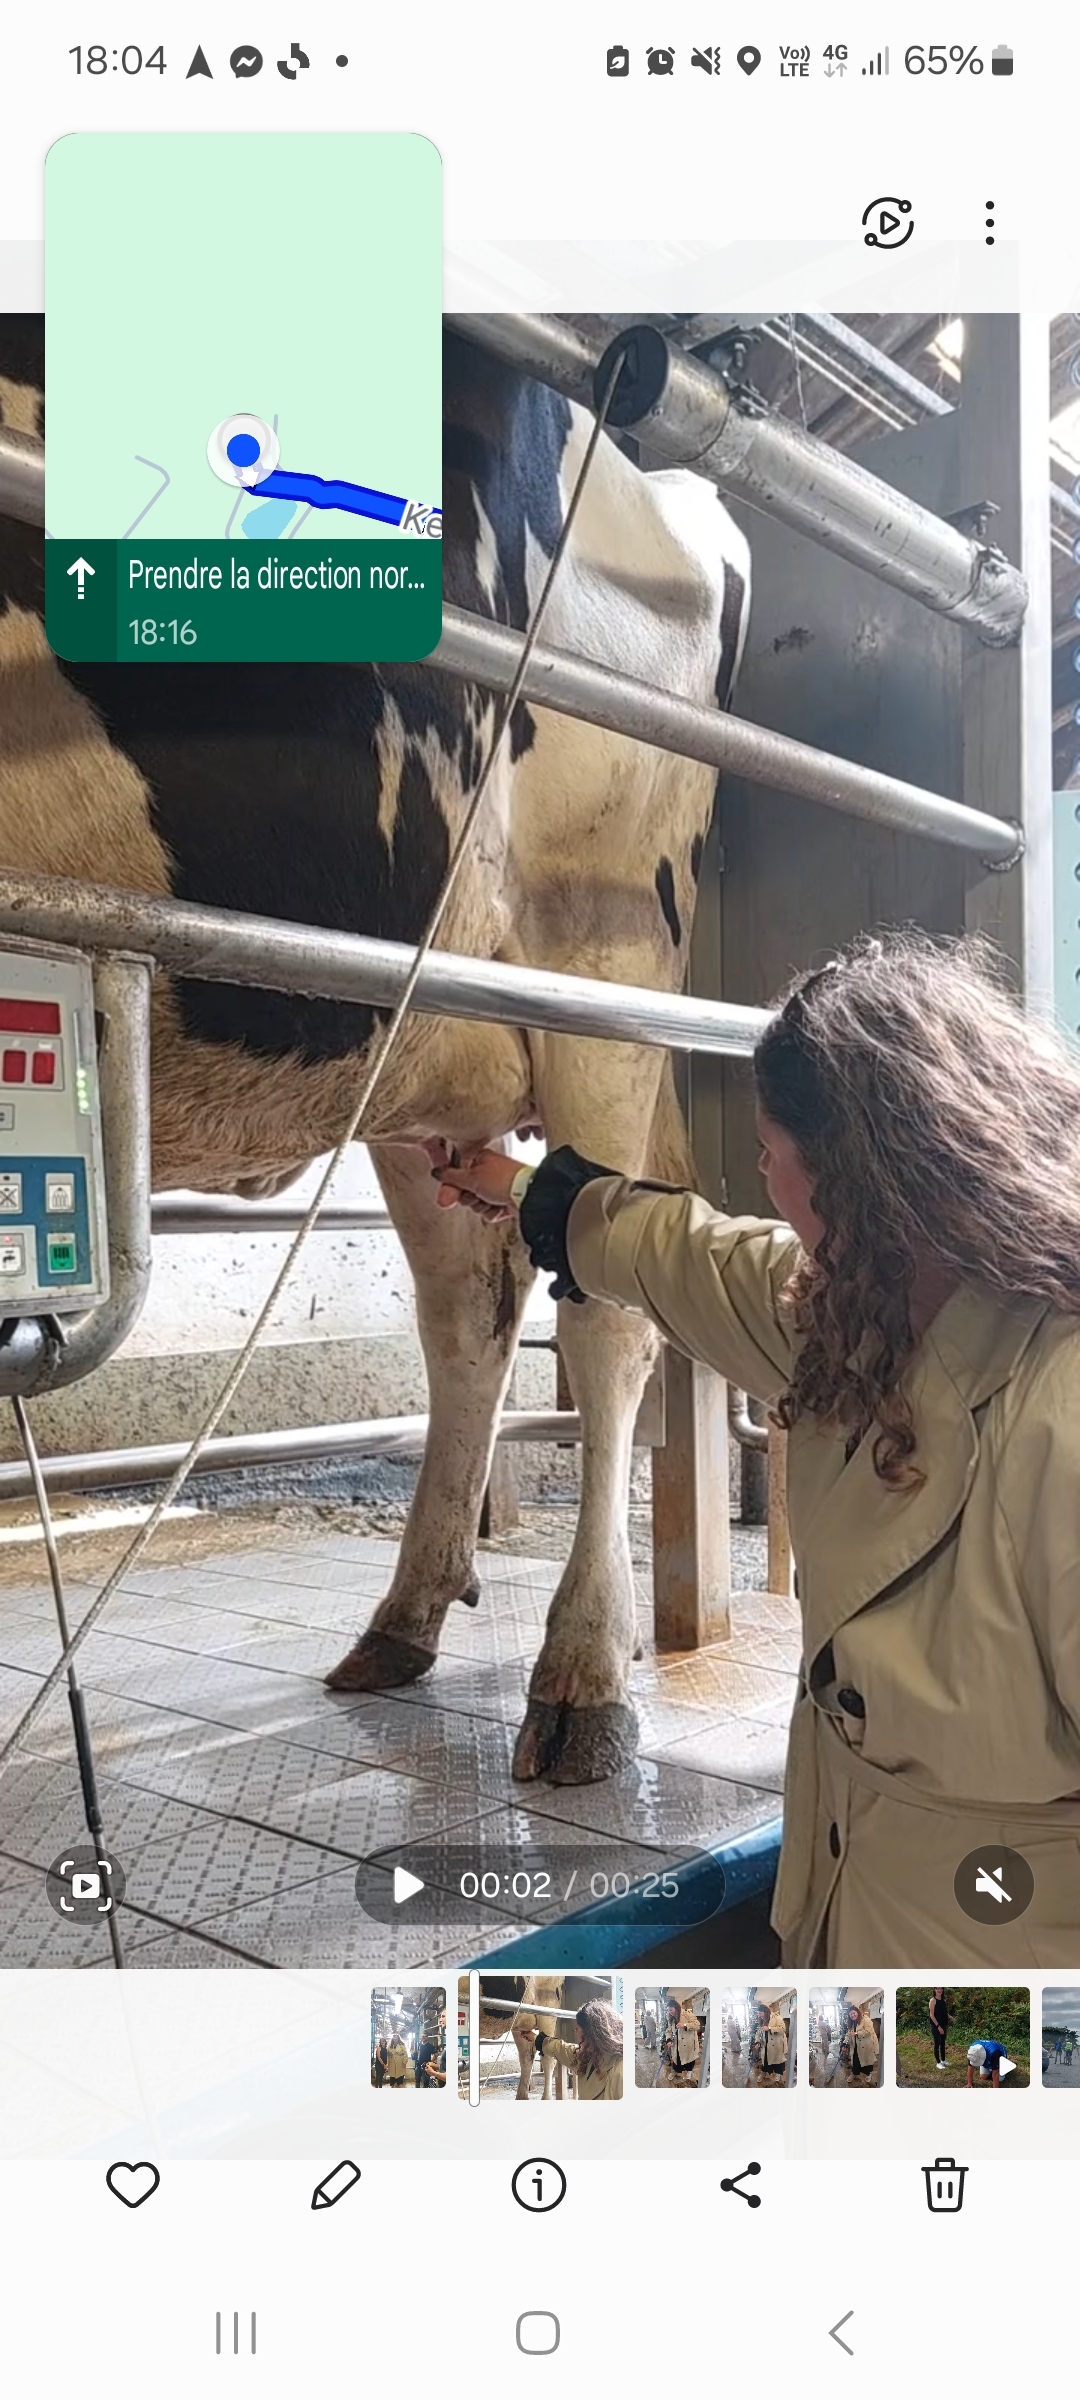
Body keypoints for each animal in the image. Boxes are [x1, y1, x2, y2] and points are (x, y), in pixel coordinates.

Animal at [0, 315, 750, 1788]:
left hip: (607, 975)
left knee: (611, 1315)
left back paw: (584, 1676)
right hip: (420, 1030)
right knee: (473, 1298)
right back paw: (404, 1620)